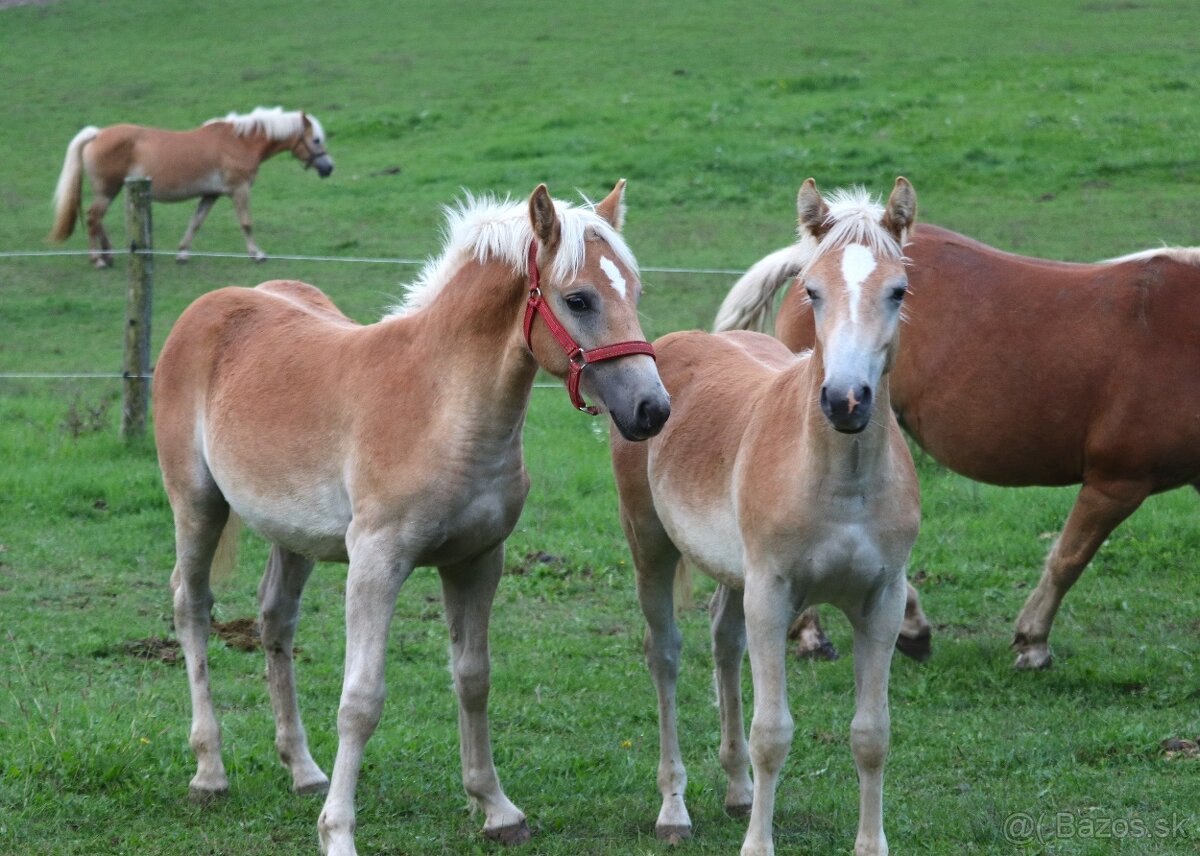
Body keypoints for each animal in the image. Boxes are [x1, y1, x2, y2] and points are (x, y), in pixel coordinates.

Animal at [48, 106, 333, 266]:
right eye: (316, 140)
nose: (328, 168)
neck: (239, 142)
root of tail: (97, 134)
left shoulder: (211, 195)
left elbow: (195, 222)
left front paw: (182, 254)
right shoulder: (239, 190)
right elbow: (246, 223)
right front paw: (257, 254)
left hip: (113, 189)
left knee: (97, 219)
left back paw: (108, 255)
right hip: (107, 190)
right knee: (93, 217)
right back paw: (97, 259)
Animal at [151, 180, 672, 854]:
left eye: (633, 291)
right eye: (579, 298)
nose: (652, 409)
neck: (442, 407)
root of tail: (213, 305)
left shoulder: (478, 560)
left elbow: (473, 678)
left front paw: (496, 807)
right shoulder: (377, 562)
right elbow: (361, 700)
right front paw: (339, 833)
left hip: (291, 533)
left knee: (275, 619)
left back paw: (304, 769)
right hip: (196, 503)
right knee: (191, 604)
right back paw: (209, 770)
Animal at [614, 175, 921, 854]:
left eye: (898, 290)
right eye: (811, 290)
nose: (846, 400)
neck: (841, 486)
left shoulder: (882, 600)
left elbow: (873, 735)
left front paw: (871, 843)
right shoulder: (773, 594)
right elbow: (772, 733)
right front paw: (758, 844)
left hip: (735, 577)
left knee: (723, 642)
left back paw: (736, 791)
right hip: (652, 549)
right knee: (664, 654)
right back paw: (674, 809)